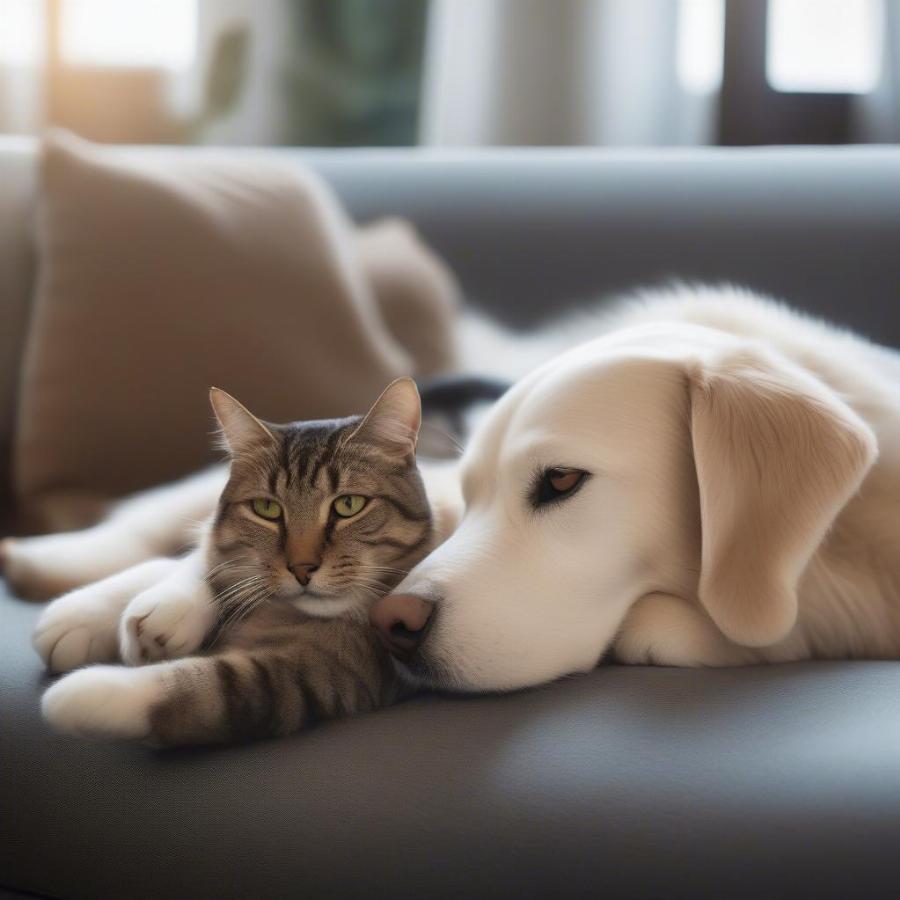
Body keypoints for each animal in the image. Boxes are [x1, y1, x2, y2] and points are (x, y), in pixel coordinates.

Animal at [24, 380, 460, 744]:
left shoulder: (317, 674)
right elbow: (211, 554)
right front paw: (160, 612)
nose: (302, 569)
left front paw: (78, 693)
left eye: (348, 505)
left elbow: (201, 686)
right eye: (267, 509)